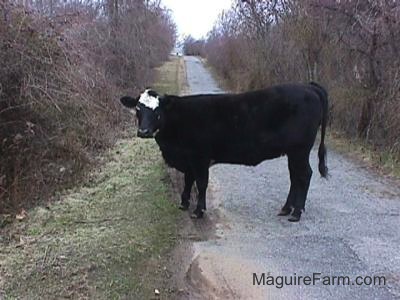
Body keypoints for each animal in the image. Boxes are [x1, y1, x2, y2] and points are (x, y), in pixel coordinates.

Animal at [119, 83, 328, 221]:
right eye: (138, 109)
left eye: (157, 111)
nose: (143, 131)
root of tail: (307, 86)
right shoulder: (188, 159)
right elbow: (188, 180)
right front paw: (184, 203)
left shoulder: (199, 157)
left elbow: (201, 183)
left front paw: (198, 210)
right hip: (293, 152)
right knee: (295, 176)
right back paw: (286, 208)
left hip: (300, 150)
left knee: (304, 175)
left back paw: (296, 213)